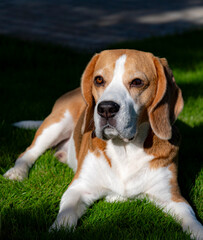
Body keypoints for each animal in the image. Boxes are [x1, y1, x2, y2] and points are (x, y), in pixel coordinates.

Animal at [3, 49, 203, 239]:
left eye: (137, 82)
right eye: (98, 80)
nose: (106, 108)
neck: (125, 150)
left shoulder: (173, 197)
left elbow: (191, 219)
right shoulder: (78, 188)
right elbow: (66, 214)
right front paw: (58, 230)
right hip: (56, 124)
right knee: (28, 153)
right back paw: (17, 172)